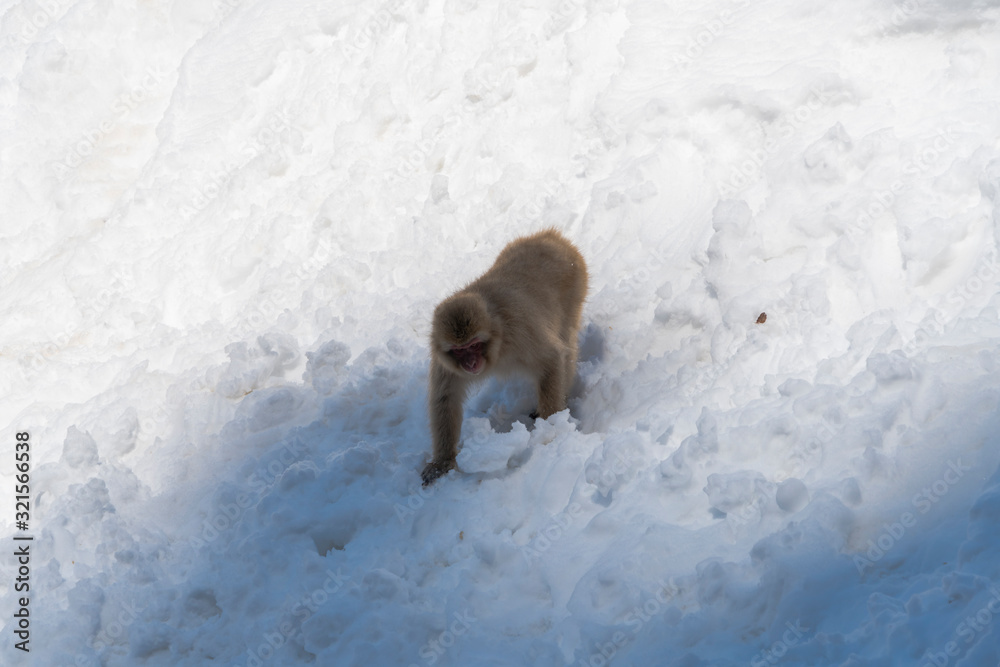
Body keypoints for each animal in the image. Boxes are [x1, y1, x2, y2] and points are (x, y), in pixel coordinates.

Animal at [420, 230, 584, 486]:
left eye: (474, 345)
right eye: (459, 350)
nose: (470, 363)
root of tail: (550, 236)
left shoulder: (520, 332)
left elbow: (551, 358)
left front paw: (550, 429)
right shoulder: (443, 360)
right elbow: (445, 399)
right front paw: (442, 462)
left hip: (575, 288)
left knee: (566, 342)